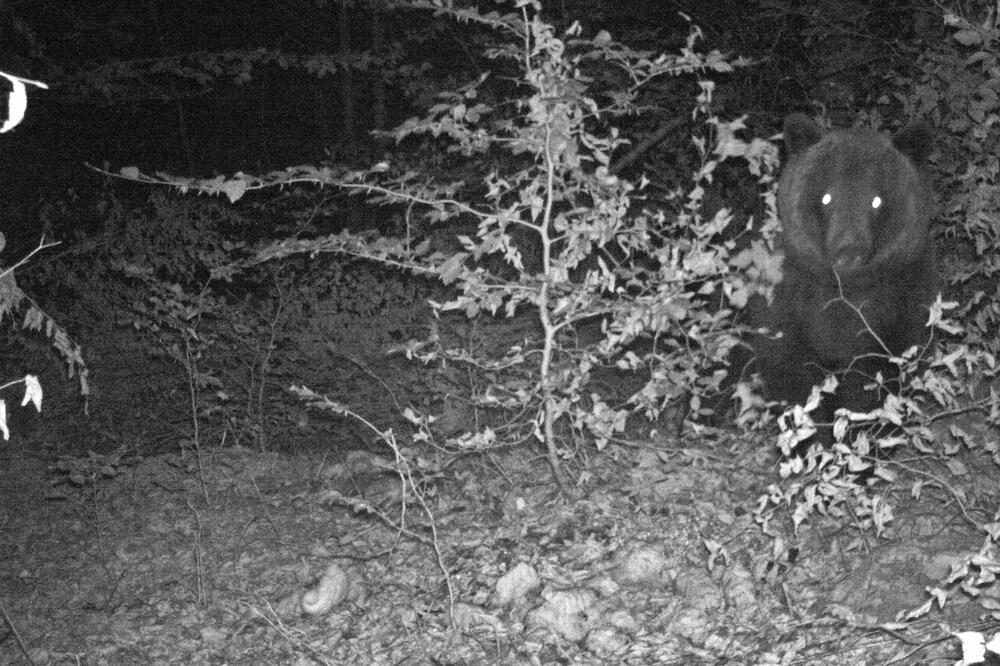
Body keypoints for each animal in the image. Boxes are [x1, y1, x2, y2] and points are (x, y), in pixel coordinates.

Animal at [747, 114, 937, 441]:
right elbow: (791, 371)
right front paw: (813, 438)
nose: (848, 253)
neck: (845, 289)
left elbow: (878, 377)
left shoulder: (901, 302)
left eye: (876, 200)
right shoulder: (787, 302)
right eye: (826, 197)